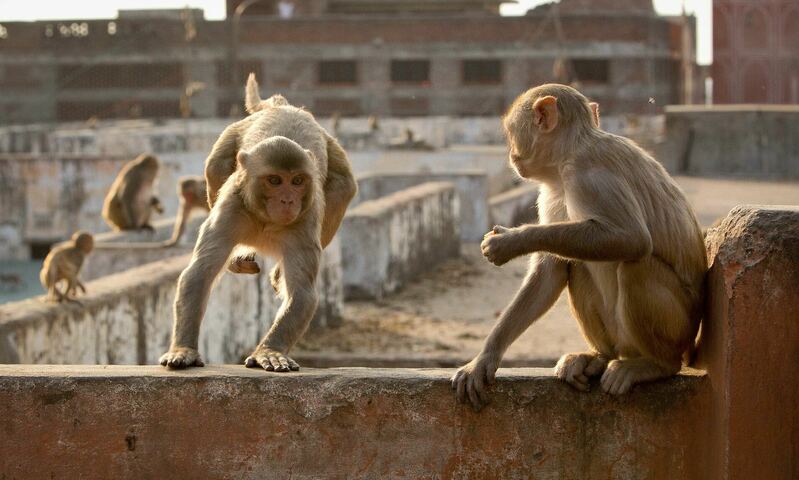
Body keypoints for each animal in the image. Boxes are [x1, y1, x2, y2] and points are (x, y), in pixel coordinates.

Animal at [159, 74, 357, 371]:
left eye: (297, 180)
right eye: (274, 180)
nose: (287, 201)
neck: (265, 219)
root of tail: (285, 106)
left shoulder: (305, 220)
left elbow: (302, 293)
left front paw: (270, 351)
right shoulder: (230, 209)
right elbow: (199, 274)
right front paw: (183, 349)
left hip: (333, 156)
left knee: (343, 187)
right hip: (230, 138)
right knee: (215, 165)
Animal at [451, 84, 707, 410]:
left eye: (511, 132)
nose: (510, 154)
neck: (568, 154)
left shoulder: (588, 176)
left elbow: (632, 238)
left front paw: (511, 241)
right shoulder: (551, 191)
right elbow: (550, 270)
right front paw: (485, 358)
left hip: (677, 328)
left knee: (636, 265)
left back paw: (656, 365)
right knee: (577, 262)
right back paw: (599, 356)